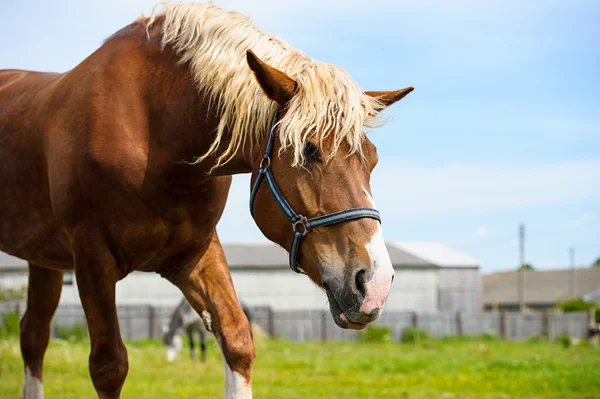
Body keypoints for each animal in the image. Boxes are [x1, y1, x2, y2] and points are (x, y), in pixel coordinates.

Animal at [0, 1, 412, 398]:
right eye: (309, 151)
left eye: (373, 159)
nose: (375, 283)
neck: (153, 126)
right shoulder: (92, 258)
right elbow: (108, 366)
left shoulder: (194, 254)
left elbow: (237, 341)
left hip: (45, 261)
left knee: (33, 338)